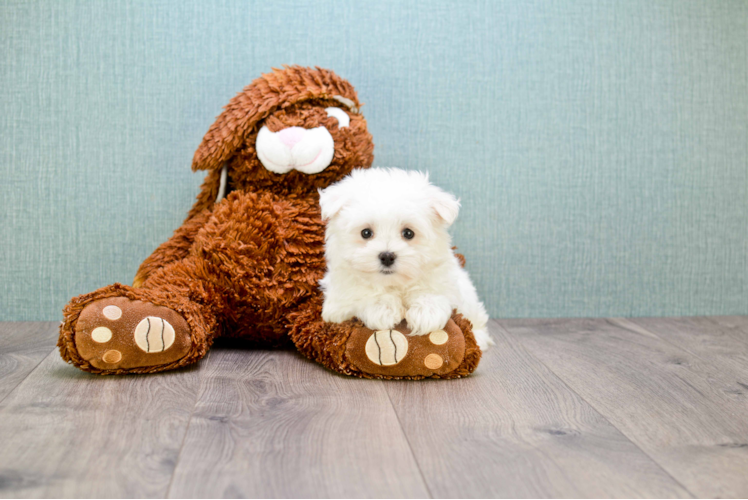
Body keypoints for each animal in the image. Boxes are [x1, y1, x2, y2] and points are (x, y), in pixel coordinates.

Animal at [318, 168, 494, 352]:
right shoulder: (337, 303)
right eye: (366, 233)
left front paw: (427, 311)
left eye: (408, 233)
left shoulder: (445, 282)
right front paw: (382, 307)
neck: (395, 283)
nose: (387, 256)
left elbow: (432, 291)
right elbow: (363, 294)